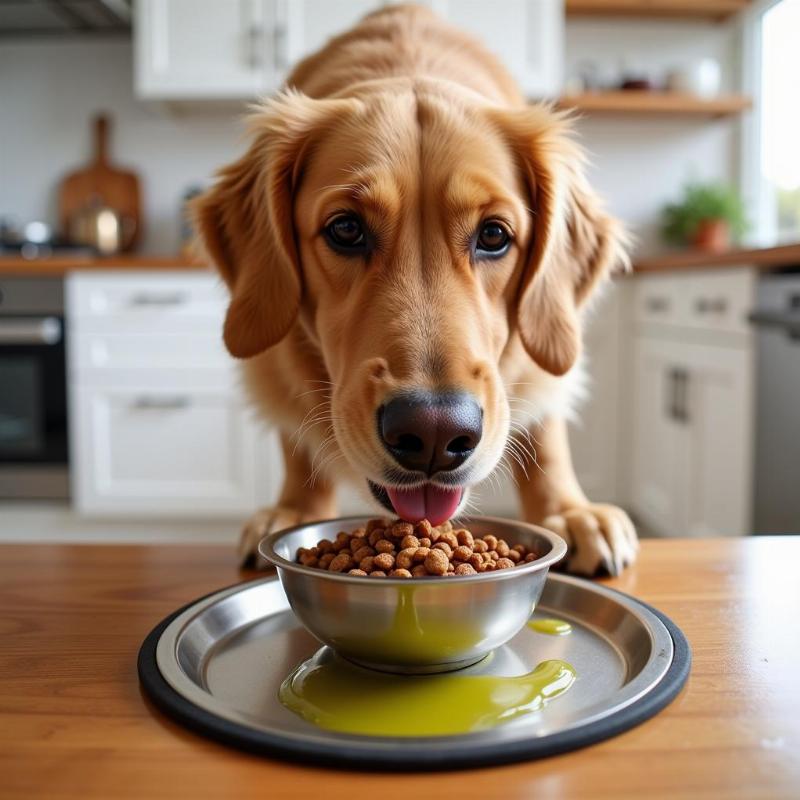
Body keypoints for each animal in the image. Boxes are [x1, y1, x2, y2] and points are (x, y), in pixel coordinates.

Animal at [194, 0, 636, 576]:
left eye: (494, 235)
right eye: (346, 229)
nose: (434, 434)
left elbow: (546, 433)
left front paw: (569, 512)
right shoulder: (276, 354)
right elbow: (297, 439)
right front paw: (296, 511)